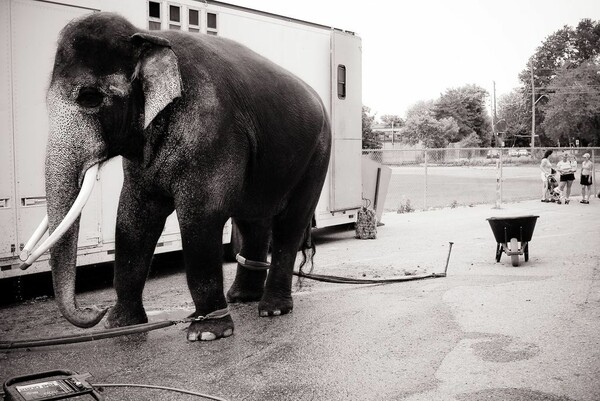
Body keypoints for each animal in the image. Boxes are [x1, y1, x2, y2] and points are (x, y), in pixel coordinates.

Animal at [25, 12, 330, 340]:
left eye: (90, 98)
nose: (96, 309)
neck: (146, 36)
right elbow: (132, 218)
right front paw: (121, 325)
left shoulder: (211, 130)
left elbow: (200, 215)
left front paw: (207, 333)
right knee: (252, 220)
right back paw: (241, 298)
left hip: (318, 154)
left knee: (290, 224)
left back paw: (272, 309)